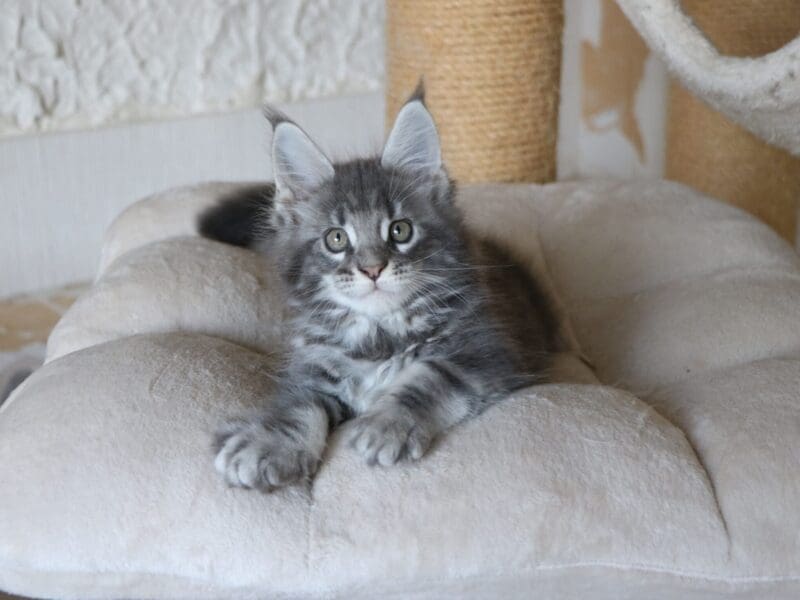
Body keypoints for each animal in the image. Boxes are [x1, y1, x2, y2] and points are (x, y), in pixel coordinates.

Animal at [198, 90, 556, 492]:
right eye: (336, 239)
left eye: (400, 230)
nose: (372, 269)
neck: (378, 333)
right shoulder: (312, 366)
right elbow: (297, 406)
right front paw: (266, 444)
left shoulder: (486, 351)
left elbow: (429, 376)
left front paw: (388, 425)